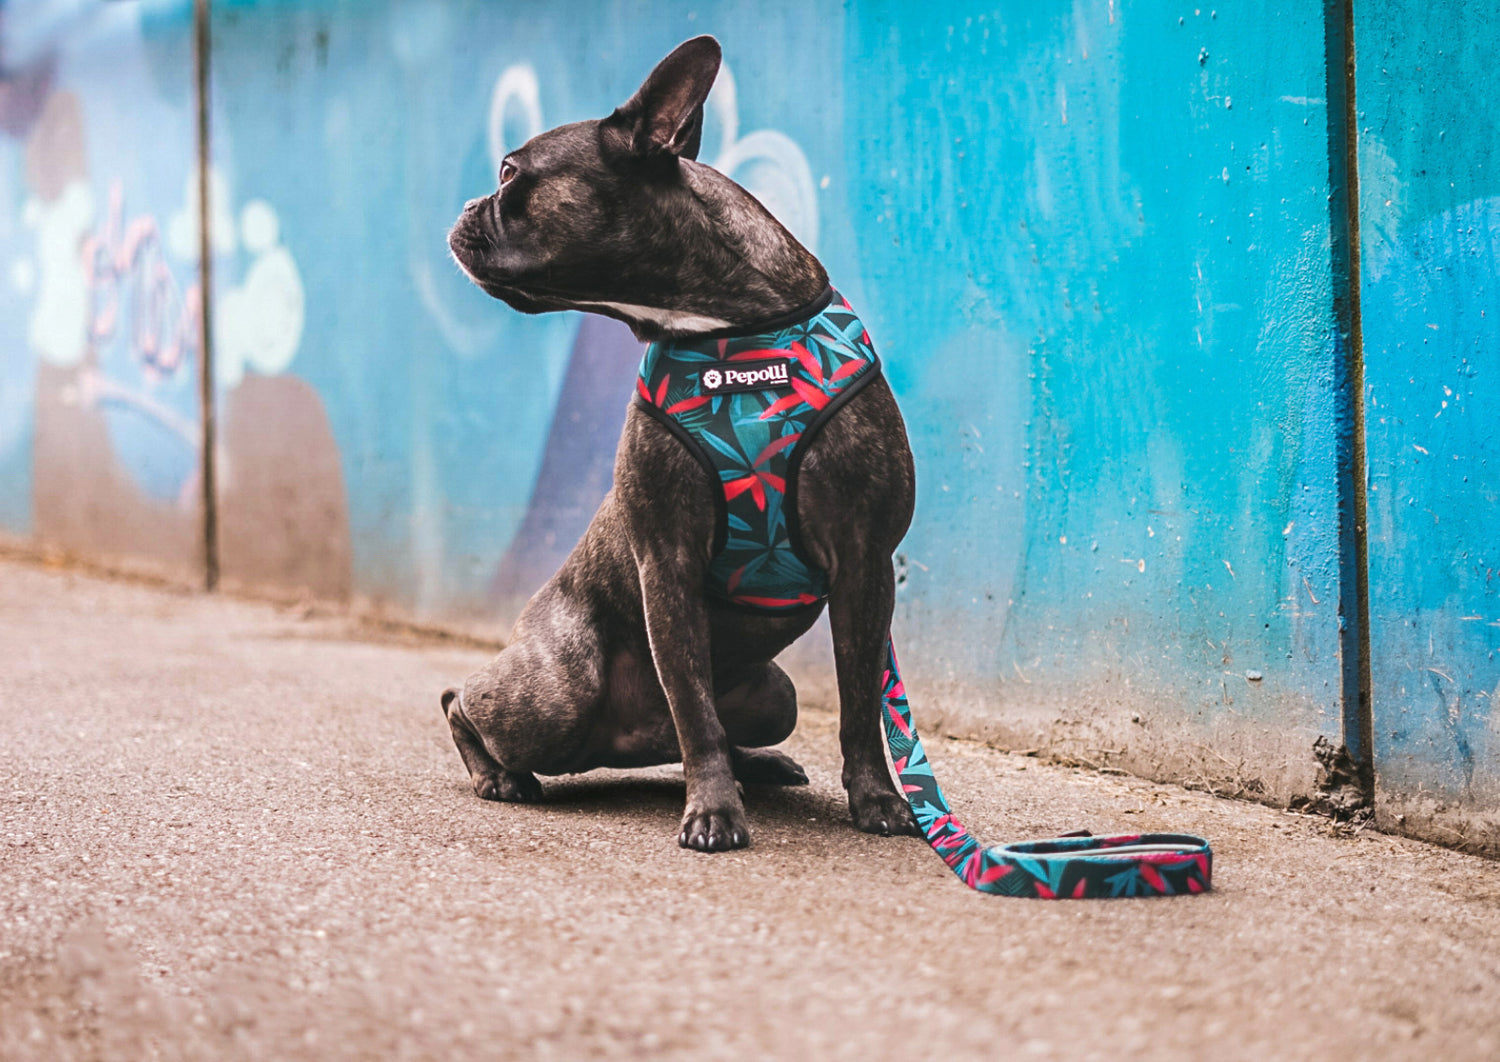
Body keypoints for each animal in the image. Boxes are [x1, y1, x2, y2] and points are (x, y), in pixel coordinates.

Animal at [438, 35, 918, 852]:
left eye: (509, 173)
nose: (467, 203)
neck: (728, 329)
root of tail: (622, 746)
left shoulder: (865, 564)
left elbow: (860, 704)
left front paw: (879, 799)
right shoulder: (668, 564)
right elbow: (695, 707)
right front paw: (714, 812)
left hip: (776, 694)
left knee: (721, 726)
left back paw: (761, 765)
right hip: (555, 689)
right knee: (460, 701)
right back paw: (501, 775)